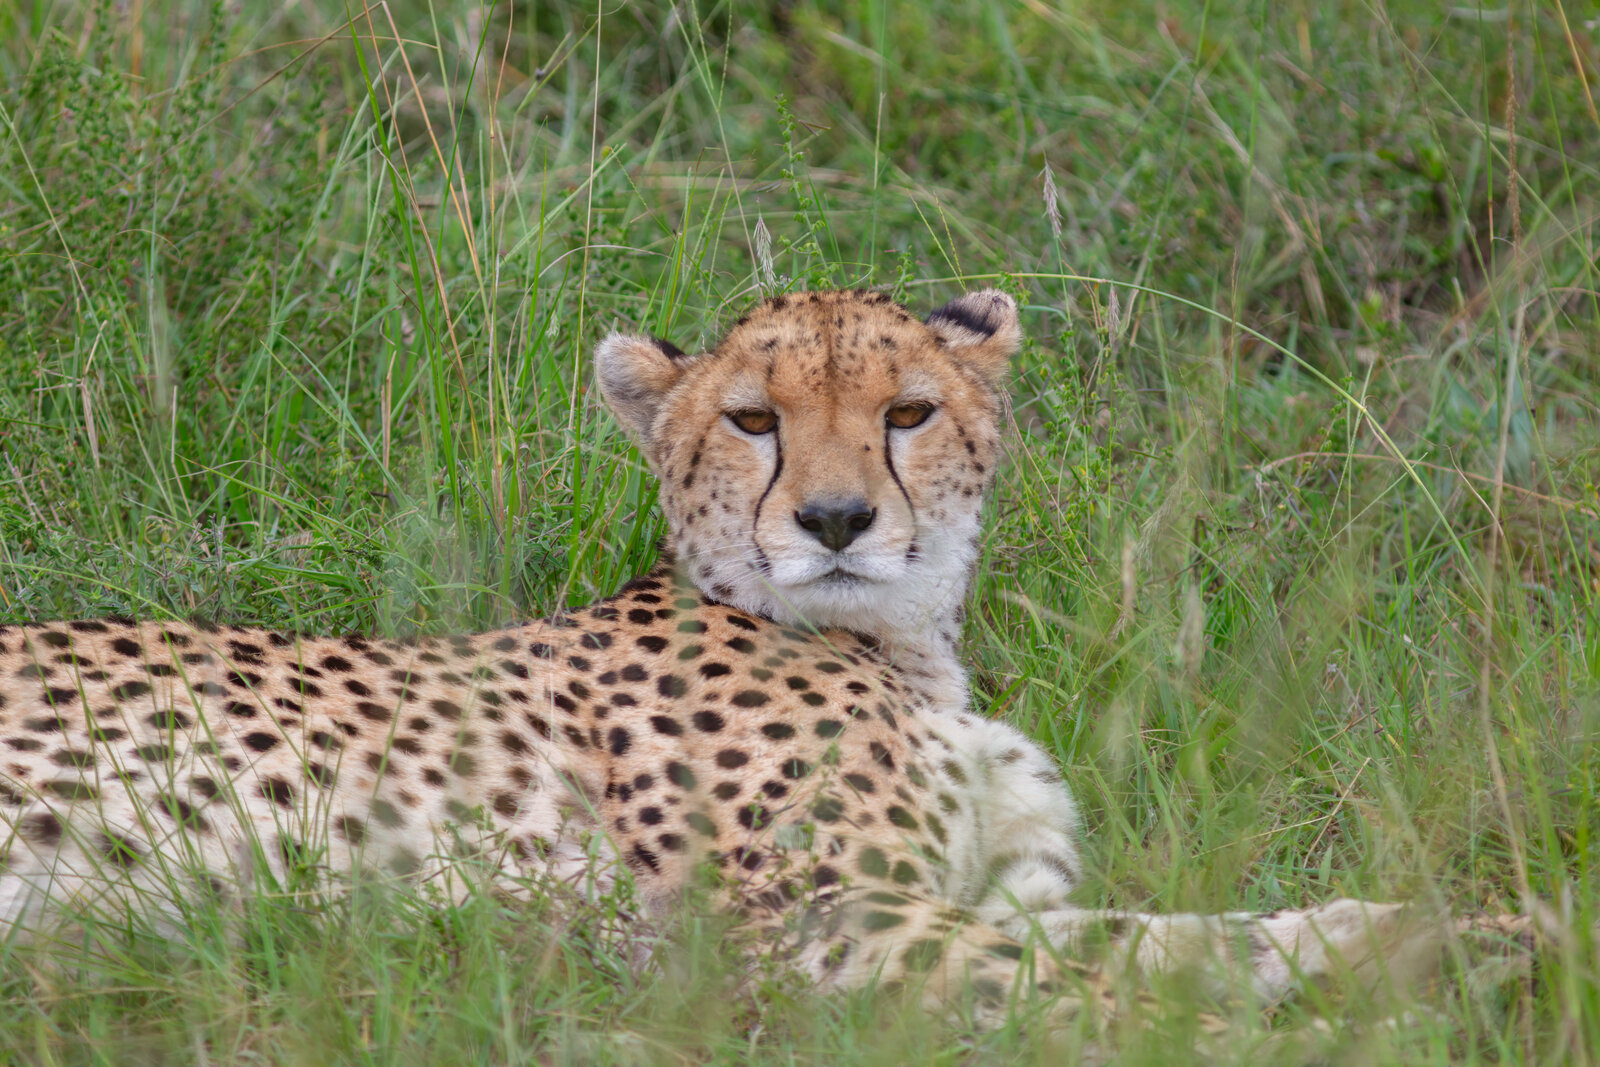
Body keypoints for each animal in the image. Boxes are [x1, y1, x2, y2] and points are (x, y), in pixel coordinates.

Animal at [0, 288, 1515, 1040]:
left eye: (905, 412)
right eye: (751, 420)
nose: (836, 520)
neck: (901, 645)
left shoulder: (969, 886)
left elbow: (1179, 927)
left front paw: (1450, 936)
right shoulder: (790, 928)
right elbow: (1106, 967)